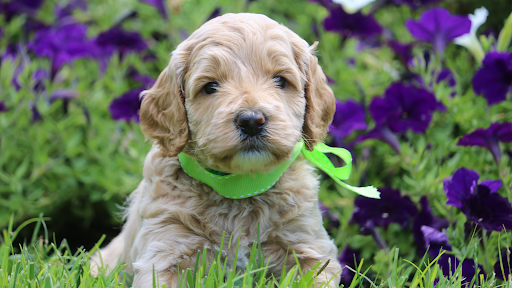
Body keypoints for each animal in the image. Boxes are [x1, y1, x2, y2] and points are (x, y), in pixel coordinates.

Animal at [92, 12, 340, 288]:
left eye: (280, 80)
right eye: (210, 86)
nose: (251, 121)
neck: (239, 188)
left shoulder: (307, 247)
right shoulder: (165, 248)